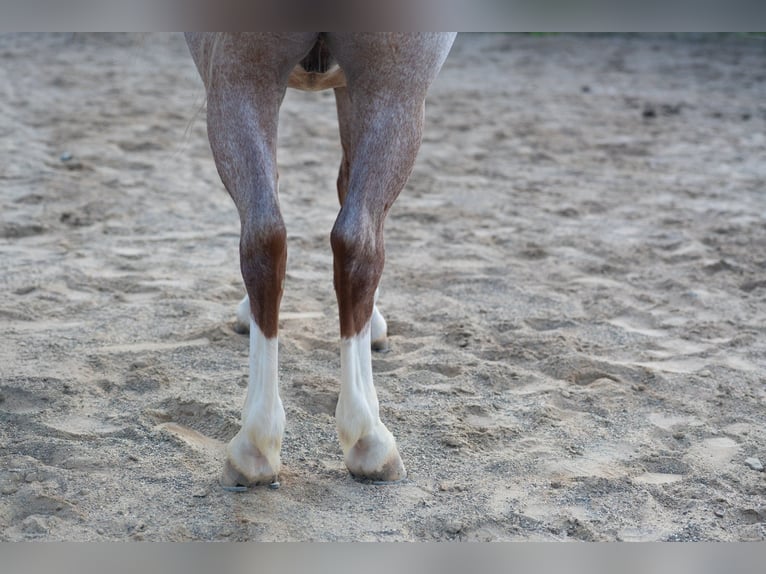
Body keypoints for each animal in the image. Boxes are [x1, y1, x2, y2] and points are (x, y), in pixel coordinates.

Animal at [185, 32, 456, 488]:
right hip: (396, 90)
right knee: (356, 242)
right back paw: (367, 437)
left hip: (243, 80)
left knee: (268, 238)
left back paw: (256, 445)